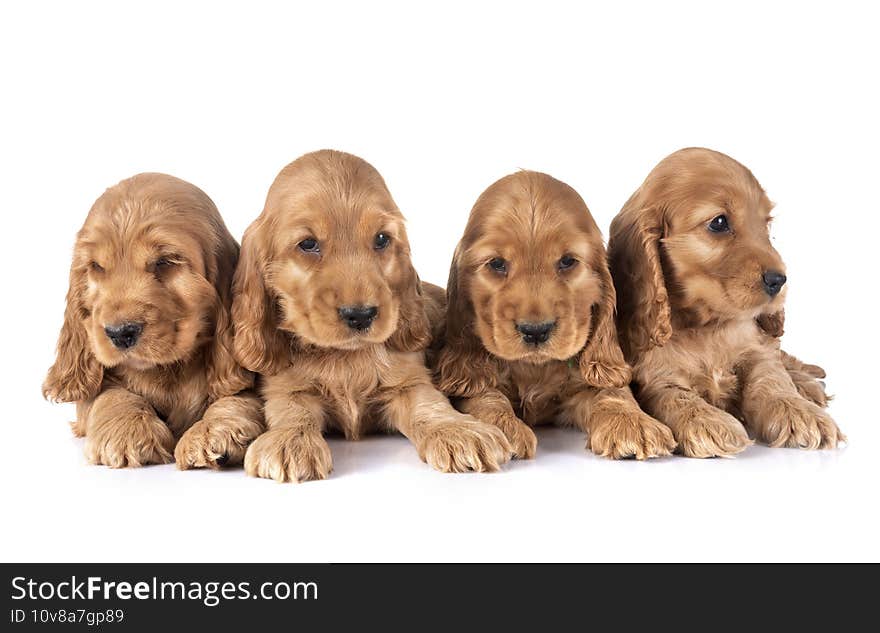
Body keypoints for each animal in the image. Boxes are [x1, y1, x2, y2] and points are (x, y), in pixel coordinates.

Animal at [43, 173, 264, 470]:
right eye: (97, 267)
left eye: (165, 261)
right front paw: (128, 431)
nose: (119, 333)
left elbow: (239, 397)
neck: (167, 371)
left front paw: (213, 431)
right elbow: (106, 395)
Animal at [230, 149, 512, 484]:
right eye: (308, 244)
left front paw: (459, 431)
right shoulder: (286, 388)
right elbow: (292, 412)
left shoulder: (409, 382)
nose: (360, 315)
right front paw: (291, 441)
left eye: (381, 239)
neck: (344, 358)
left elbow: (429, 406)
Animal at [434, 170, 672, 460]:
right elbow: (485, 396)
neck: (535, 368)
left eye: (568, 261)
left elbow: (611, 391)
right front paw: (506, 429)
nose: (536, 331)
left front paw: (632, 423)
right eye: (497, 264)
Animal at [604, 148, 844, 454]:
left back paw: (808, 385)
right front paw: (707, 421)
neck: (708, 326)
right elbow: (674, 395)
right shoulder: (656, 373)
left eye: (766, 224)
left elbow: (772, 378)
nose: (779, 280)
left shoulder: (758, 347)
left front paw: (799, 412)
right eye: (719, 222)